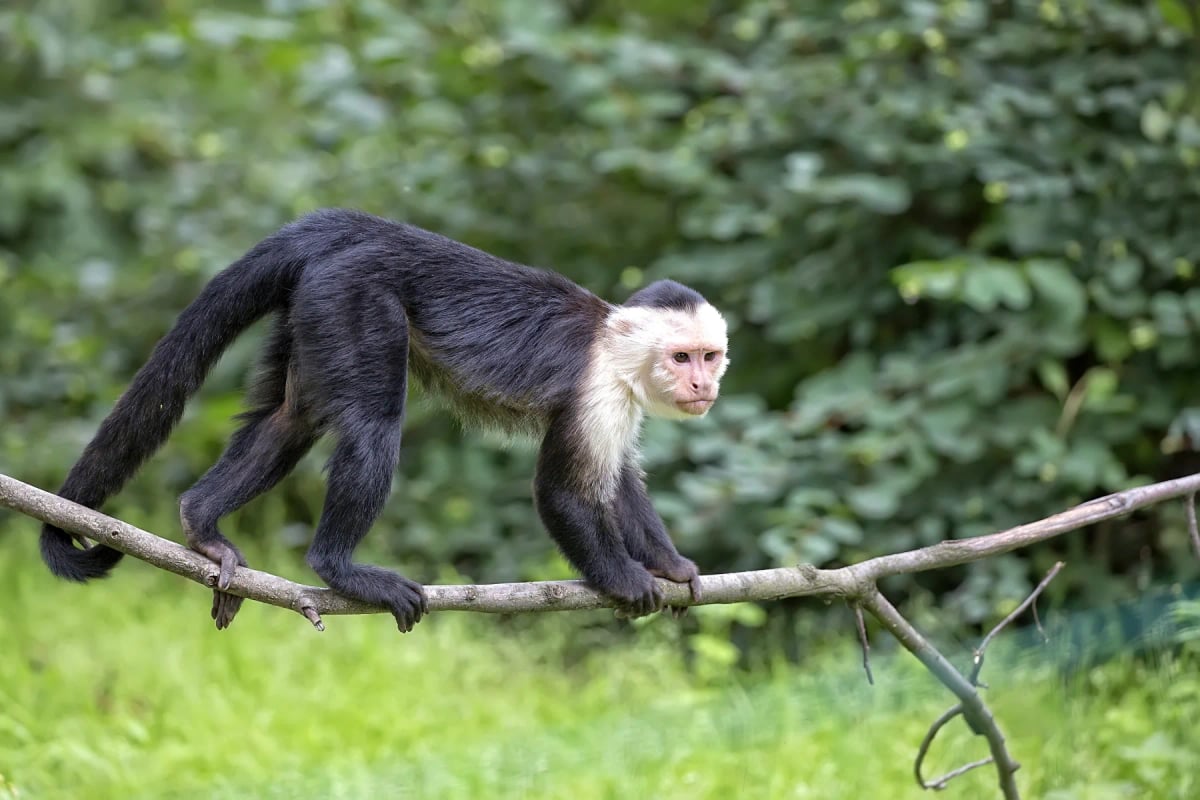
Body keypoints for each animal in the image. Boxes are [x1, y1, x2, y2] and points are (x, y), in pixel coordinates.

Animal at [39, 208, 729, 631]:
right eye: (682, 356)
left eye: (711, 355)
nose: (704, 384)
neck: (615, 349)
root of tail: (356, 232)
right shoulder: (599, 388)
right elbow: (561, 492)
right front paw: (624, 578)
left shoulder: (623, 397)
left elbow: (618, 484)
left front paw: (670, 567)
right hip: (352, 295)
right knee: (373, 425)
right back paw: (337, 568)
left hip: (314, 301)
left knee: (292, 418)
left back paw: (202, 525)